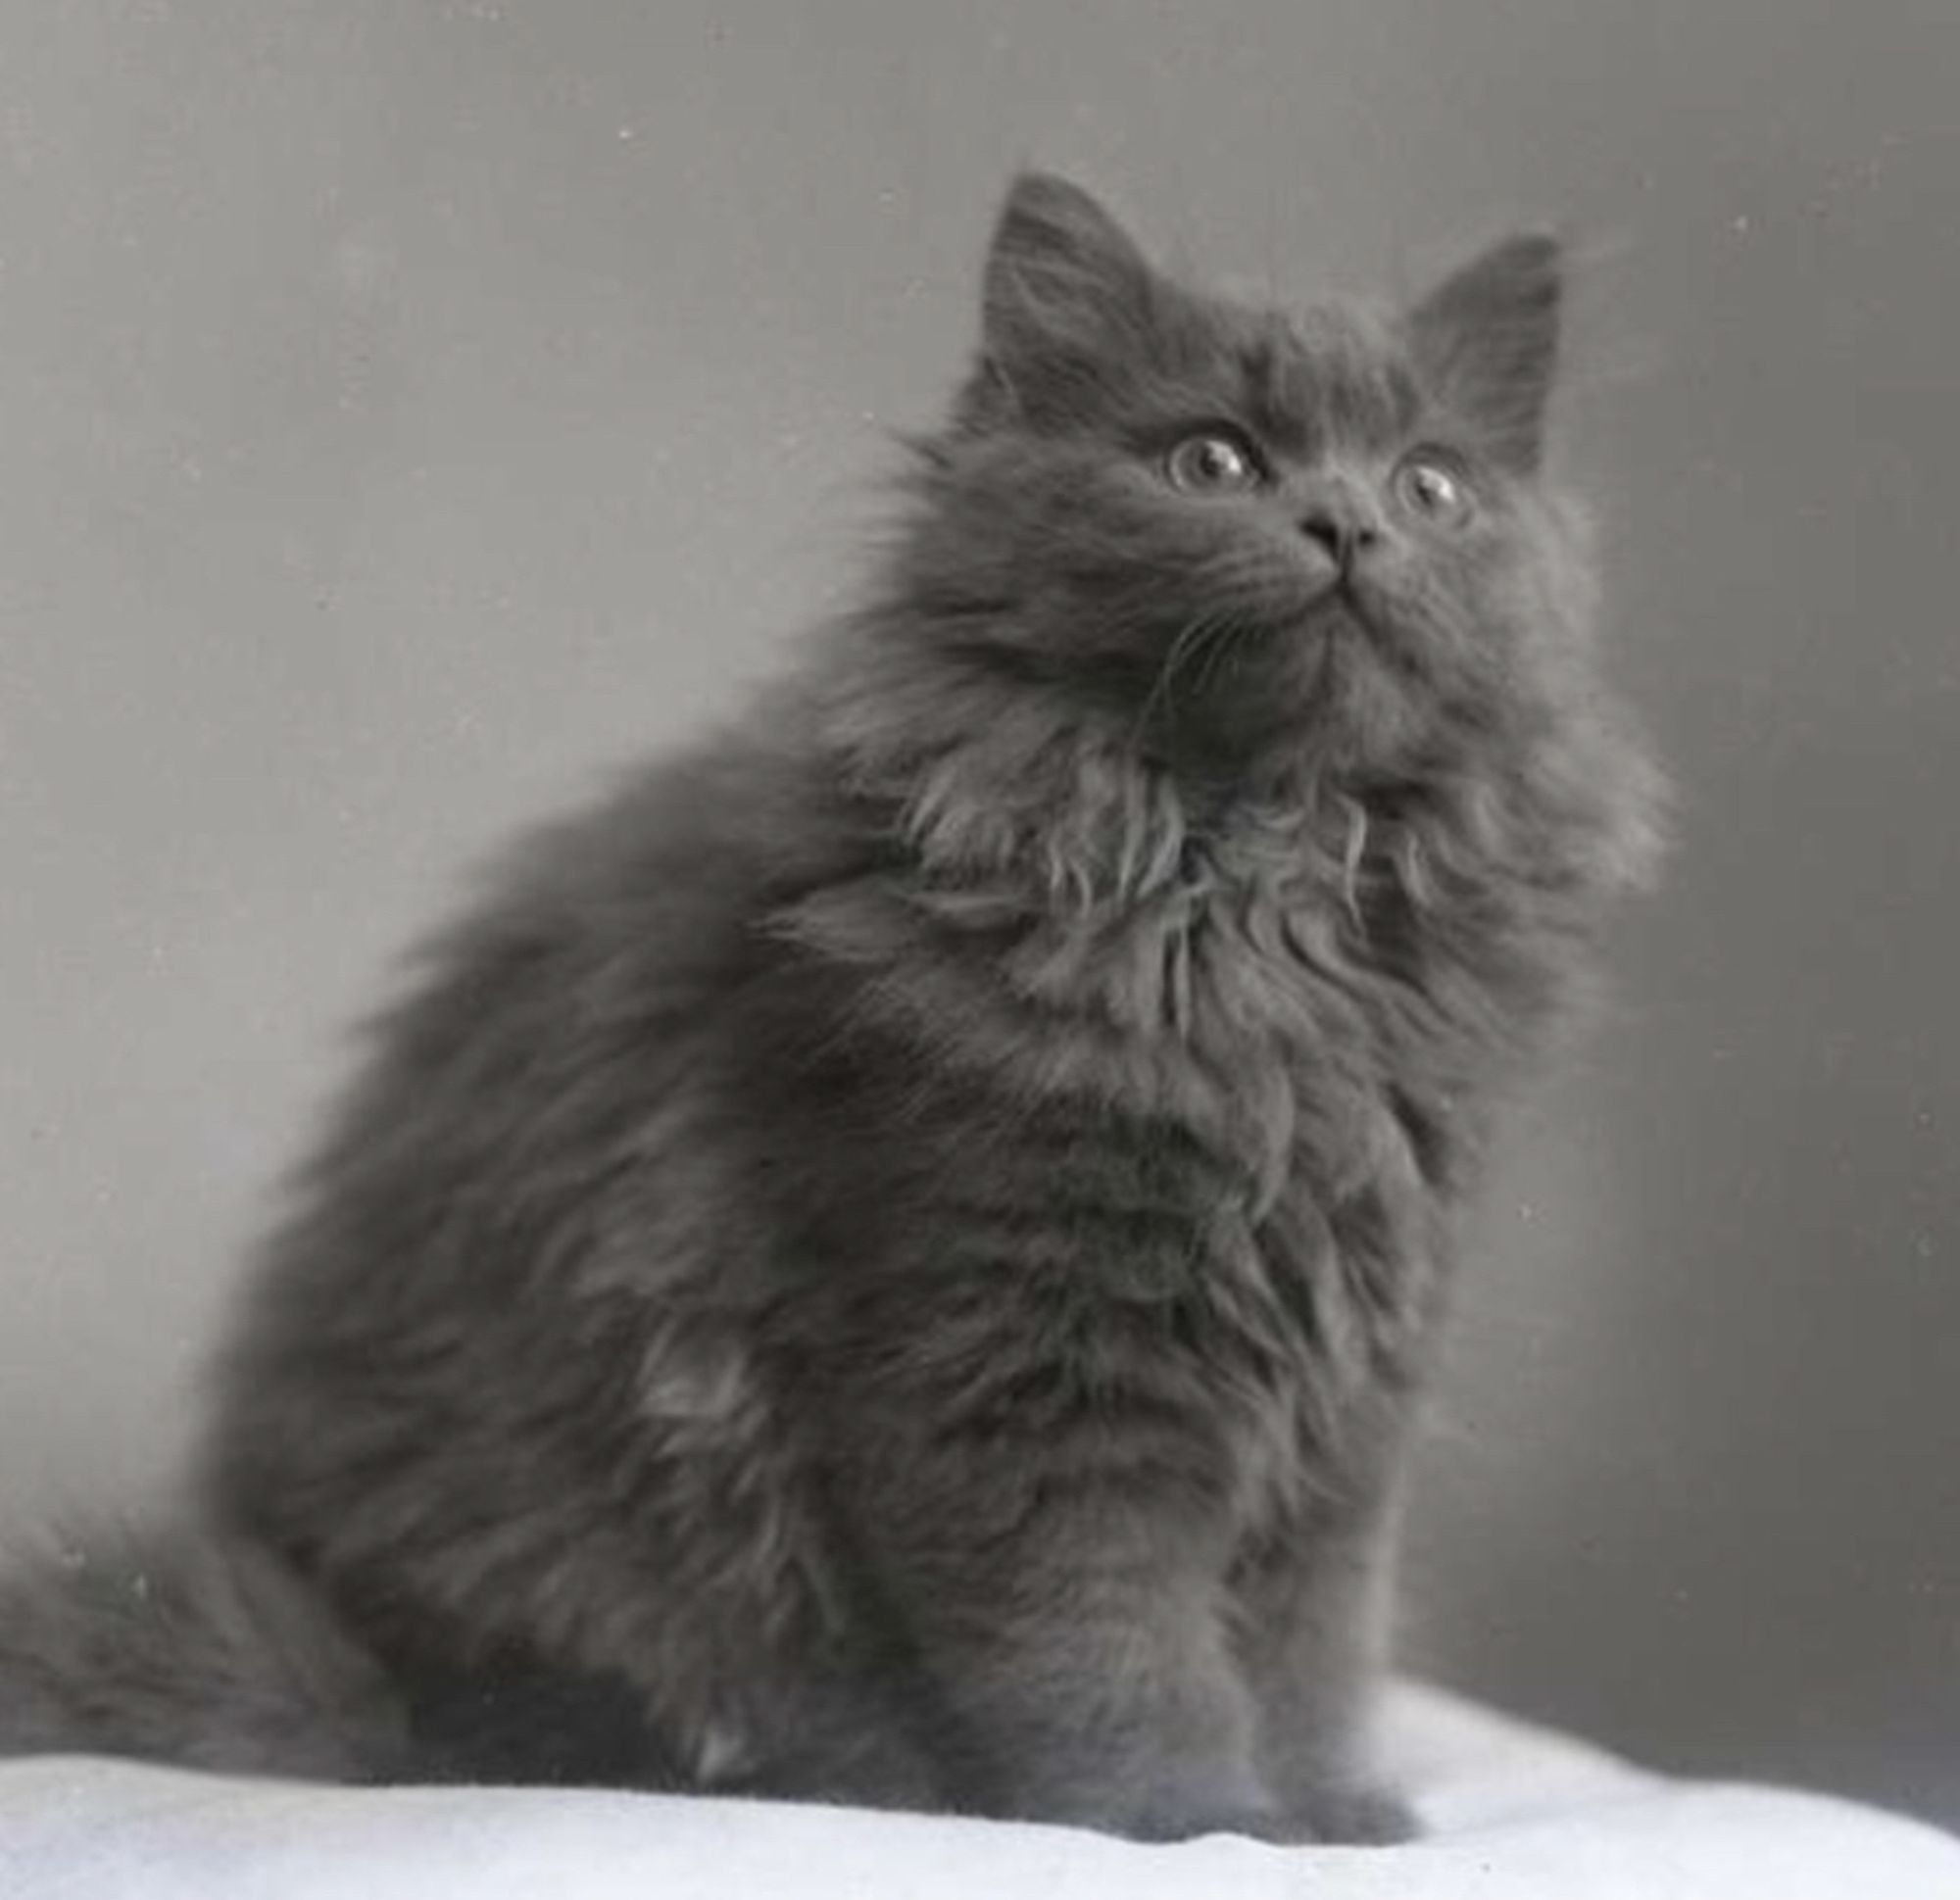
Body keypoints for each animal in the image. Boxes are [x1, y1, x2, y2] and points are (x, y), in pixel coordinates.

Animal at [0, 177, 1662, 1833]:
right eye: (1213, 461)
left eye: (1434, 485)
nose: (1349, 522)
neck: (1251, 902)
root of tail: (360, 1665)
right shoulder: (1015, 1355)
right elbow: (1114, 1638)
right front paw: (1200, 1816)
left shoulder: (1353, 1378)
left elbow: (1313, 1637)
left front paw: (1336, 1815)